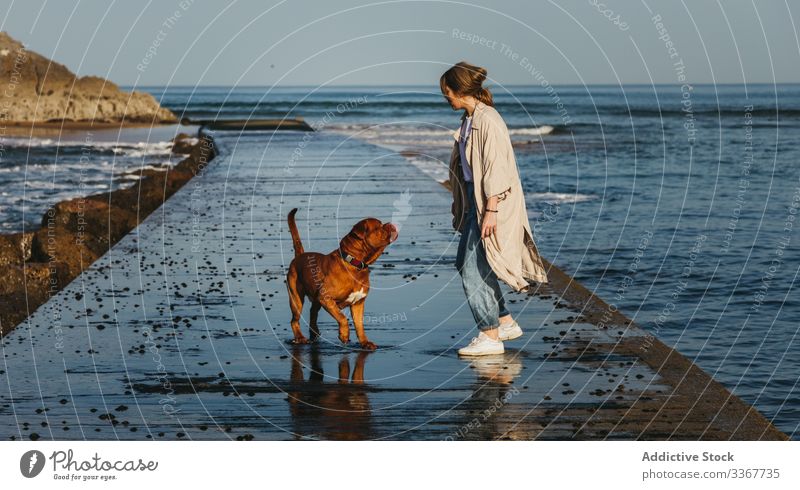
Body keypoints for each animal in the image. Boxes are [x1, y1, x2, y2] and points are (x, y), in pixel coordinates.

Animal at [288, 209, 400, 350]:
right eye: (378, 227)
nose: (390, 224)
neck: (355, 263)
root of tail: (299, 256)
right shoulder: (326, 298)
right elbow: (342, 318)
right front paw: (344, 335)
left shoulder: (358, 303)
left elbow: (359, 325)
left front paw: (365, 342)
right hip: (296, 298)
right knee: (295, 320)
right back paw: (300, 338)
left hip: (315, 298)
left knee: (313, 313)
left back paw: (314, 333)